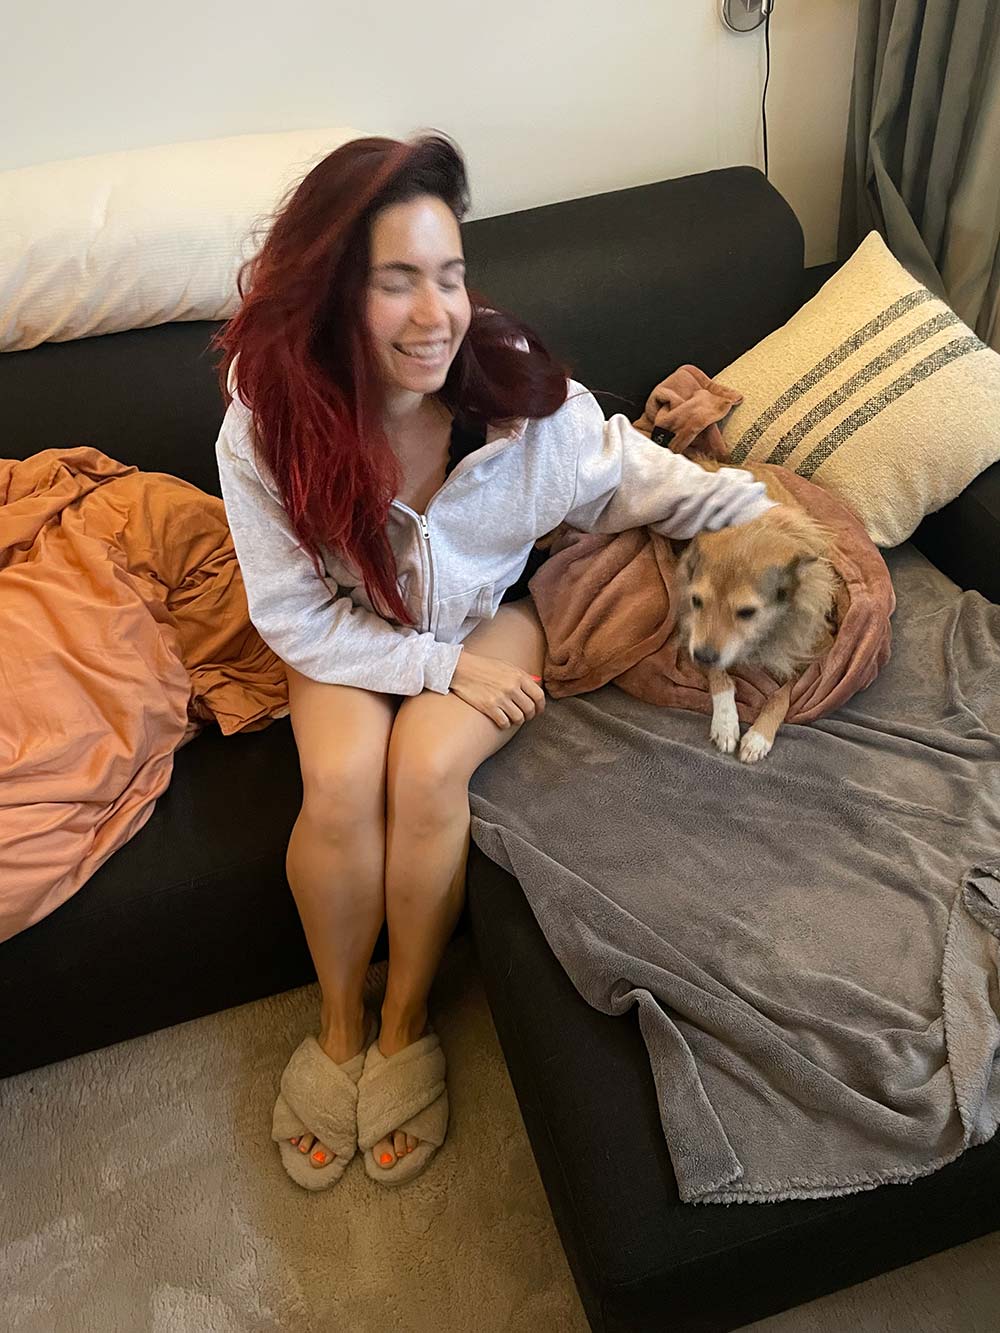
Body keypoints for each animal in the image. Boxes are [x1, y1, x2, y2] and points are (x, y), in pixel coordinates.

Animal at [676, 464, 839, 763]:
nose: (701, 657)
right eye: (696, 600)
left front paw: (759, 737)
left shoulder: (806, 657)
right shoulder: (694, 635)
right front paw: (725, 722)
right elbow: (720, 676)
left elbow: (782, 696)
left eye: (747, 612)